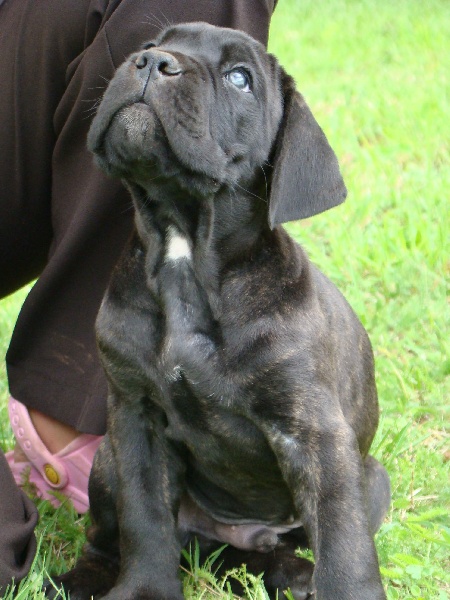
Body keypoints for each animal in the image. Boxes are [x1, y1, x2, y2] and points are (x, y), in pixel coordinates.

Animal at [46, 21, 390, 600]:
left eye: (239, 79)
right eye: (150, 44)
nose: (153, 62)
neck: (184, 250)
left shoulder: (314, 435)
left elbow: (343, 540)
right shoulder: (135, 417)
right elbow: (145, 521)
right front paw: (144, 590)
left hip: (372, 481)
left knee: (282, 547)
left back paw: (295, 575)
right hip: (106, 462)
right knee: (113, 540)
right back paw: (78, 579)